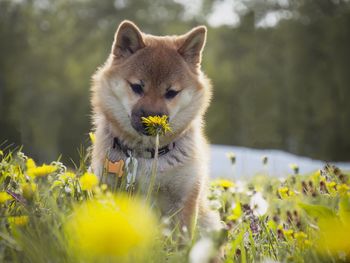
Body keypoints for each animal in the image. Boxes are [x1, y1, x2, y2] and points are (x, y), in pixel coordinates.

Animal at [90, 21, 221, 234]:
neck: (146, 156)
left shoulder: (184, 197)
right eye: (137, 87)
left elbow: (183, 238)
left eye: (171, 92)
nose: (153, 119)